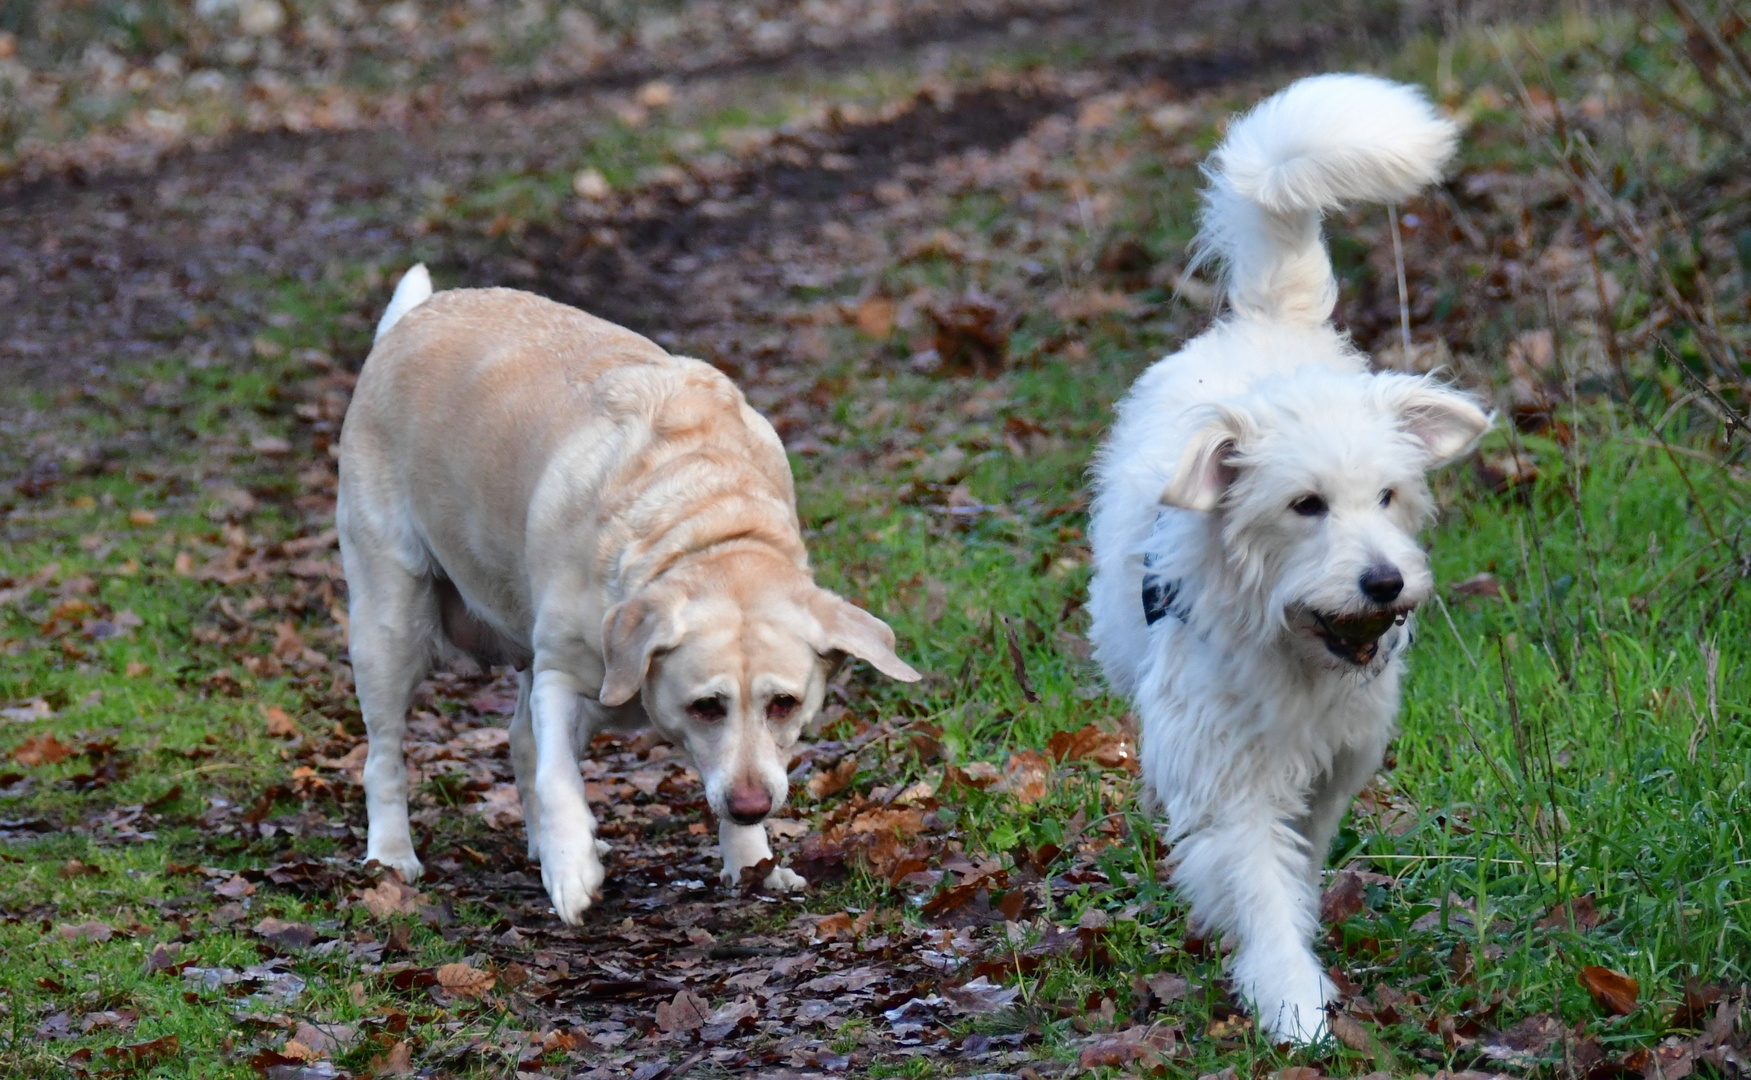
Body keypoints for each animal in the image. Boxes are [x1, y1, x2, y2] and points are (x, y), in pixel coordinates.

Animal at [1092, 73, 1491, 1036]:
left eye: (1387, 497)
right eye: (1303, 506)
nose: (1384, 580)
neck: (1295, 646)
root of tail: (1268, 320)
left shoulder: (1335, 765)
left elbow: (1297, 861)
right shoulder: (1227, 773)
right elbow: (1255, 880)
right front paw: (1291, 1000)